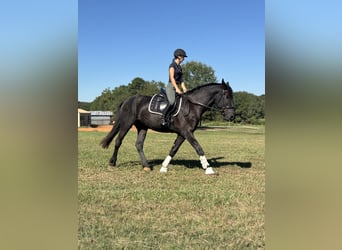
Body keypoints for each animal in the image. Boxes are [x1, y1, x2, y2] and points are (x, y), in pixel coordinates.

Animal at [100, 79, 235, 175]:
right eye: (227, 96)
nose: (232, 116)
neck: (192, 106)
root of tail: (128, 100)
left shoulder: (183, 134)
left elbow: (174, 149)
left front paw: (164, 167)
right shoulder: (187, 132)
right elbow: (198, 148)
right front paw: (208, 168)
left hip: (142, 127)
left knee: (139, 144)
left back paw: (146, 166)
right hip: (126, 124)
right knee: (118, 141)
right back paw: (112, 163)